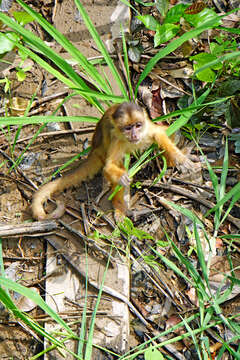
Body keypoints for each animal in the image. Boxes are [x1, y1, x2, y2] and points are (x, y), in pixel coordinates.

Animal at [31, 101, 199, 219]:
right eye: (128, 128)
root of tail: (94, 149)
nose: (134, 135)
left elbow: (160, 133)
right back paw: (120, 208)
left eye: (138, 125)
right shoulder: (116, 139)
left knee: (169, 132)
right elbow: (109, 167)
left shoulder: (146, 129)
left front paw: (179, 158)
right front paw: (123, 178)